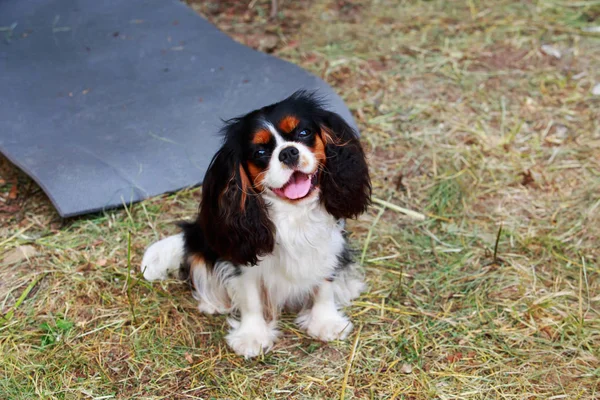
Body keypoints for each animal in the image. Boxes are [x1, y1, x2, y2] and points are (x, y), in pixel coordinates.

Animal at [141, 90, 370, 356]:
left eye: (304, 133)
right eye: (260, 153)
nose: (288, 152)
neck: (293, 211)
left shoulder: (328, 244)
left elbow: (324, 284)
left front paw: (325, 322)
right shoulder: (243, 255)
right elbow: (250, 299)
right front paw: (252, 336)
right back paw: (214, 302)